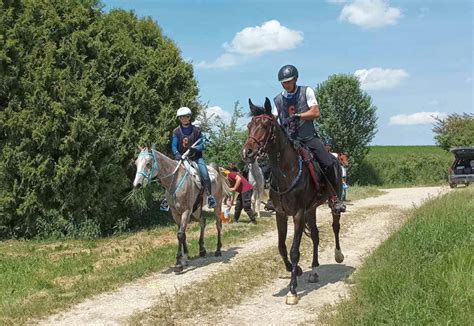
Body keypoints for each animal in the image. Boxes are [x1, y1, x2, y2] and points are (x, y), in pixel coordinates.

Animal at [243, 98, 342, 304]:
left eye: (265, 126)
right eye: (249, 126)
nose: (247, 152)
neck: (286, 171)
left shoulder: (297, 214)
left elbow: (294, 250)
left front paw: (292, 290)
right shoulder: (281, 214)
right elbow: (281, 247)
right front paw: (295, 269)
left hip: (331, 203)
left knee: (335, 227)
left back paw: (338, 255)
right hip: (311, 209)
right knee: (315, 235)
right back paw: (314, 270)